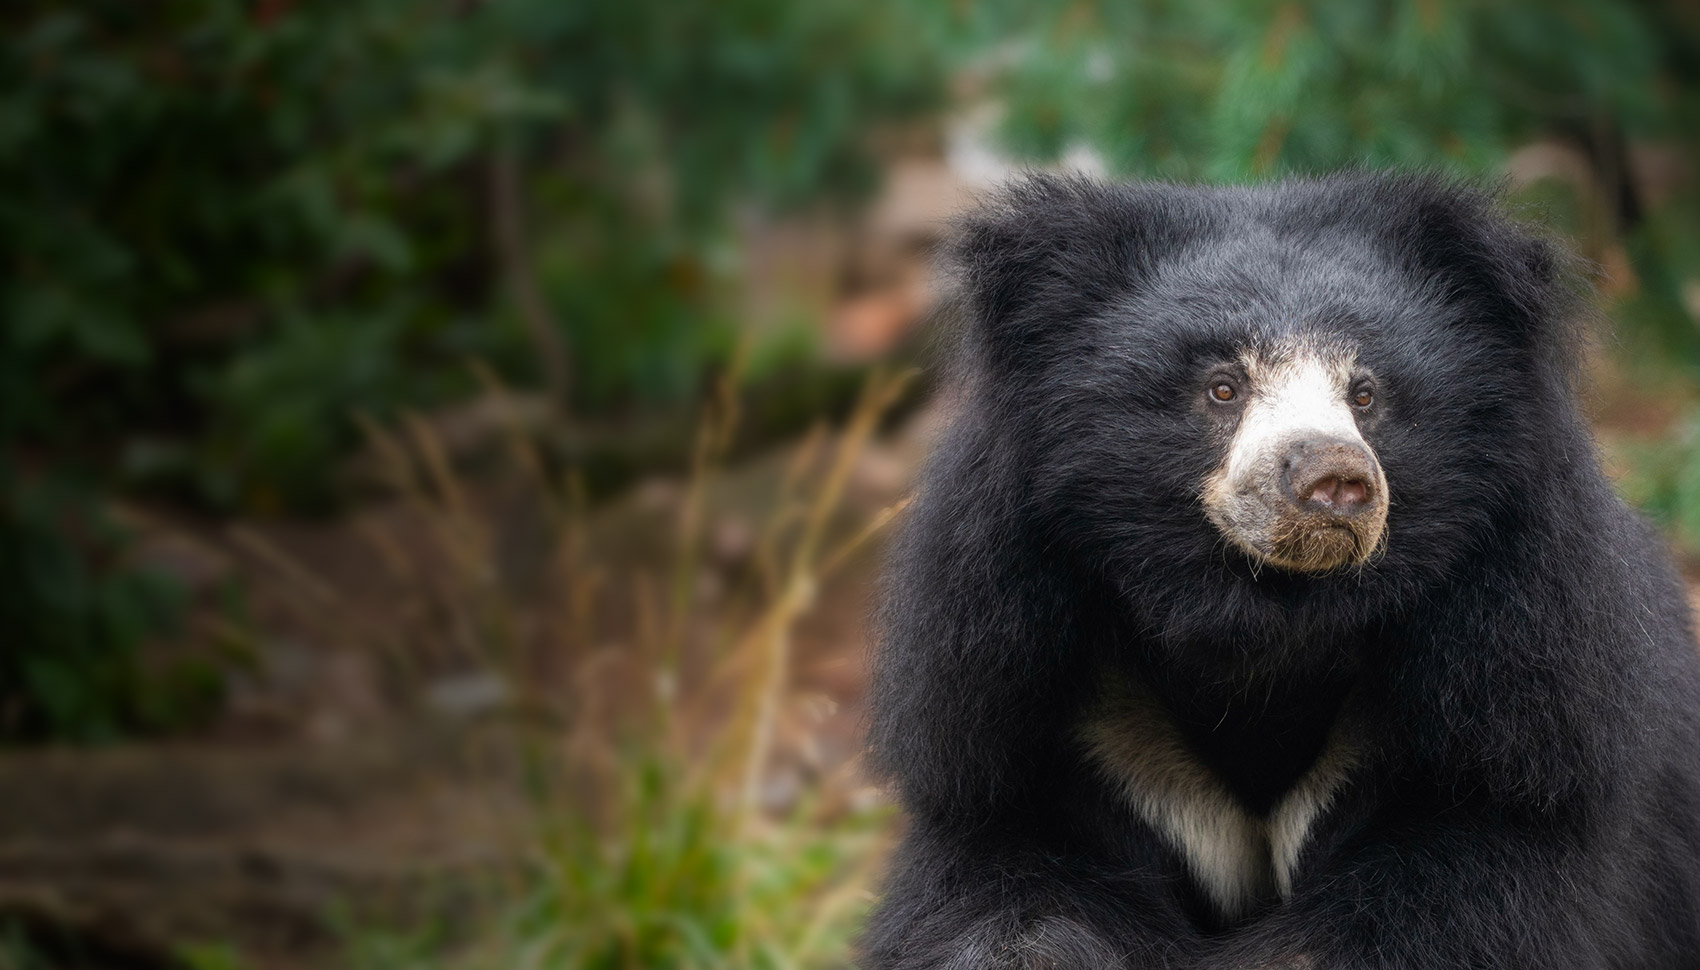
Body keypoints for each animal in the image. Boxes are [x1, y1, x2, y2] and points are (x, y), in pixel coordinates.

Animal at [863, 170, 1700, 964]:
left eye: (1366, 393)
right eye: (1222, 387)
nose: (1333, 479)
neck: (1268, 629)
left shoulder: (1523, 689)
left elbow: (1466, 899)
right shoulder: (1018, 689)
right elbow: (1000, 890)